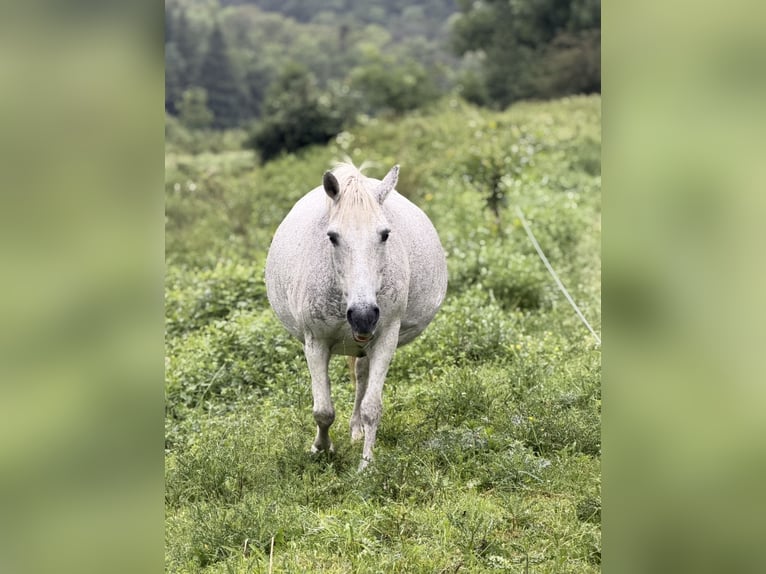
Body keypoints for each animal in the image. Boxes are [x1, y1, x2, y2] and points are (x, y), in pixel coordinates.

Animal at [265, 162, 447, 470]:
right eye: (332, 236)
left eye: (385, 234)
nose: (363, 316)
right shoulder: (315, 343)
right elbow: (323, 411)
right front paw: (321, 449)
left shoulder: (386, 338)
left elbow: (372, 407)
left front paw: (366, 465)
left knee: (362, 379)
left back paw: (357, 430)